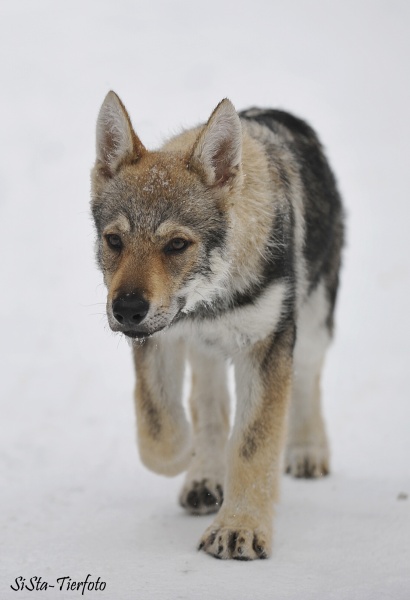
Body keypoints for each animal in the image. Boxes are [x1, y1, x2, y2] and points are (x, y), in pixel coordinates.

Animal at [89, 91, 342, 560]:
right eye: (114, 241)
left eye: (176, 245)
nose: (127, 309)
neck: (207, 302)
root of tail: (275, 112)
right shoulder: (161, 338)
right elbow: (159, 429)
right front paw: (187, 460)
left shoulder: (266, 344)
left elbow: (252, 445)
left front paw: (240, 528)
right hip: (204, 351)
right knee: (208, 404)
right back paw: (204, 477)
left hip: (313, 328)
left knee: (308, 382)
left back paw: (307, 451)